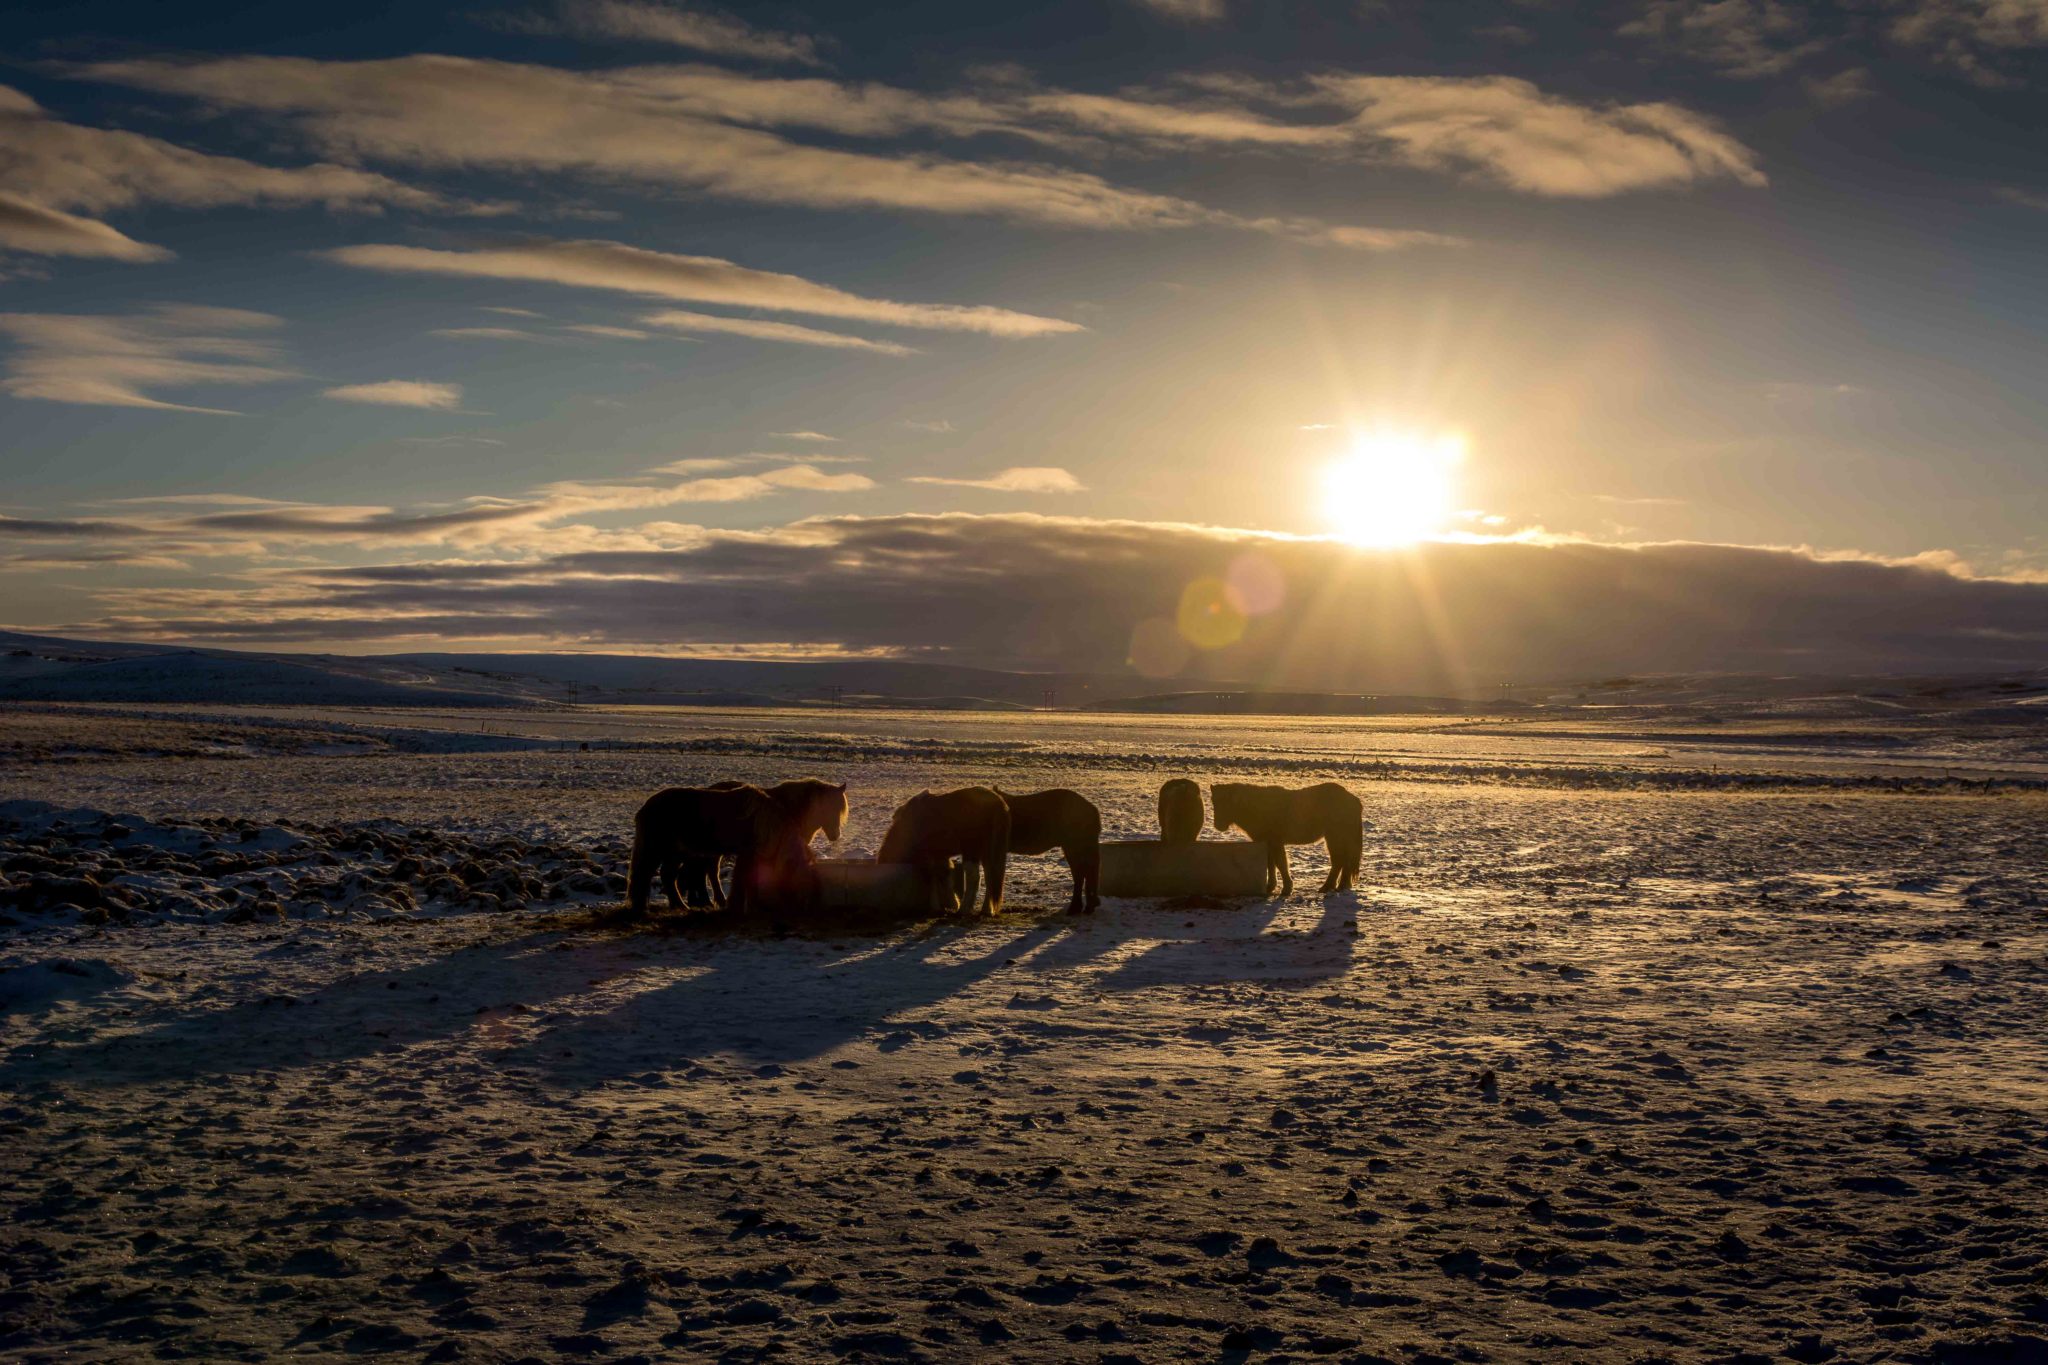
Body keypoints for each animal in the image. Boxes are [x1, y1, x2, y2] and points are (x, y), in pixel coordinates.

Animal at [876, 789, 1011, 916]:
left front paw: (936, 907)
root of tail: (997, 801)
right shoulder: (940, 855)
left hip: (971, 849)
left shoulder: (927, 855)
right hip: (987, 850)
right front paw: (952, 903)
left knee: (974, 875)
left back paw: (964, 910)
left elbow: (932, 877)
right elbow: (945, 875)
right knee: (990, 875)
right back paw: (986, 910)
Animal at [1212, 777, 1359, 896]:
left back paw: (1328, 887)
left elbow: (1280, 863)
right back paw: (1340, 886)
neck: (1260, 807)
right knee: (1343, 861)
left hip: (1334, 837)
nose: (1218, 825)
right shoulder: (1268, 843)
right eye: (1214, 802)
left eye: (1227, 803)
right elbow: (1270, 864)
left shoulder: (1275, 842)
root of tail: (1351, 798)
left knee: (1339, 861)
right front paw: (1270, 887)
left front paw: (1287, 889)